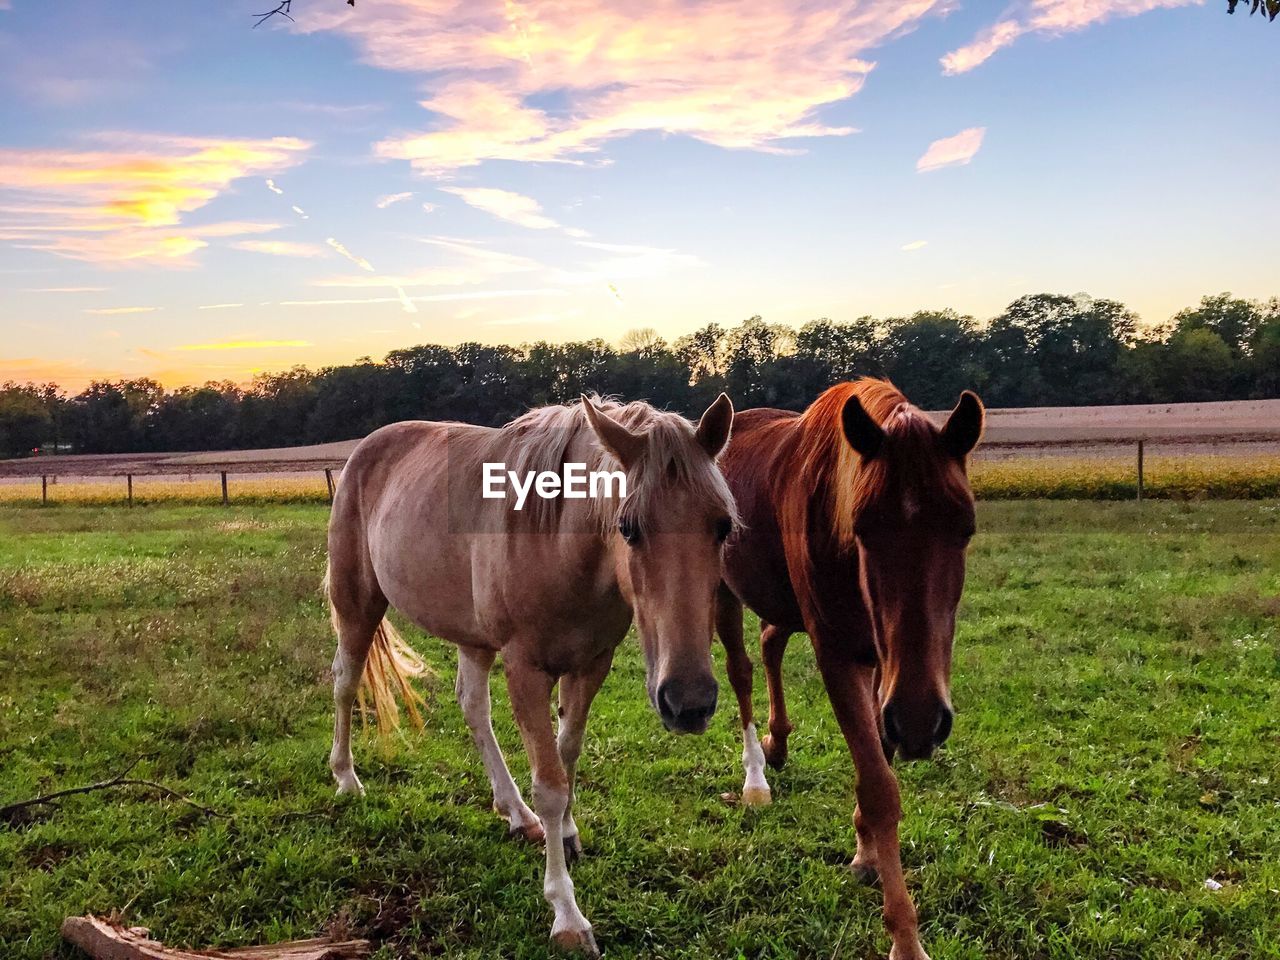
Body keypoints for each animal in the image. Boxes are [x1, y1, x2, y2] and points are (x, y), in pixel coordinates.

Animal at [325, 394, 737, 957]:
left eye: (722, 525)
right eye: (629, 527)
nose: (689, 702)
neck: (558, 543)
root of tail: (365, 450)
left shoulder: (590, 665)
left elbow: (567, 756)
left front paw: (563, 832)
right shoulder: (524, 670)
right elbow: (550, 783)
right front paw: (566, 914)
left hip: (473, 637)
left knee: (473, 706)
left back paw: (515, 814)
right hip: (358, 604)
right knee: (346, 682)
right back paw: (347, 778)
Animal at [721, 378, 977, 957]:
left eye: (966, 528)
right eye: (863, 528)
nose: (923, 722)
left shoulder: (885, 666)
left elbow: (878, 758)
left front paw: (866, 852)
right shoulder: (839, 656)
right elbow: (880, 787)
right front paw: (905, 938)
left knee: (770, 642)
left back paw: (778, 742)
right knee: (741, 669)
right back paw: (755, 777)